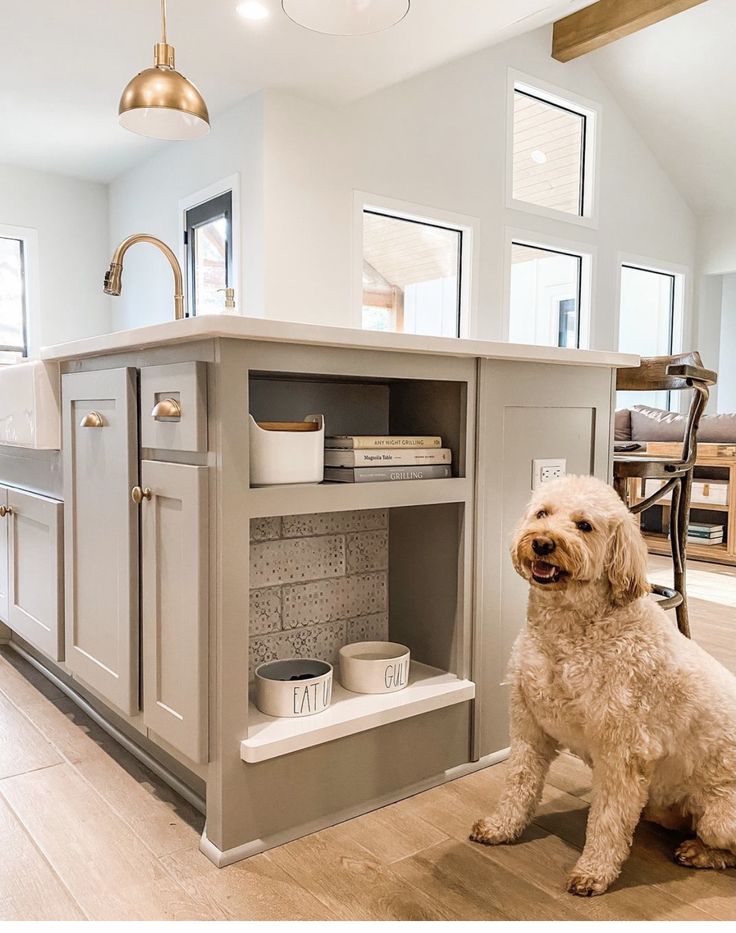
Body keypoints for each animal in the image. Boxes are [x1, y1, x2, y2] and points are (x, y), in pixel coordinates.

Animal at [468, 474, 736, 896]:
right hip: (664, 806)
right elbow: (518, 783)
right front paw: (501, 827)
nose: (542, 543)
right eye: (542, 513)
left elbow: (608, 819)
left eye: (585, 525)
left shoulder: (621, 753)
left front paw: (593, 871)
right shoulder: (528, 727)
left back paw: (699, 852)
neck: (567, 632)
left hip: (720, 817)